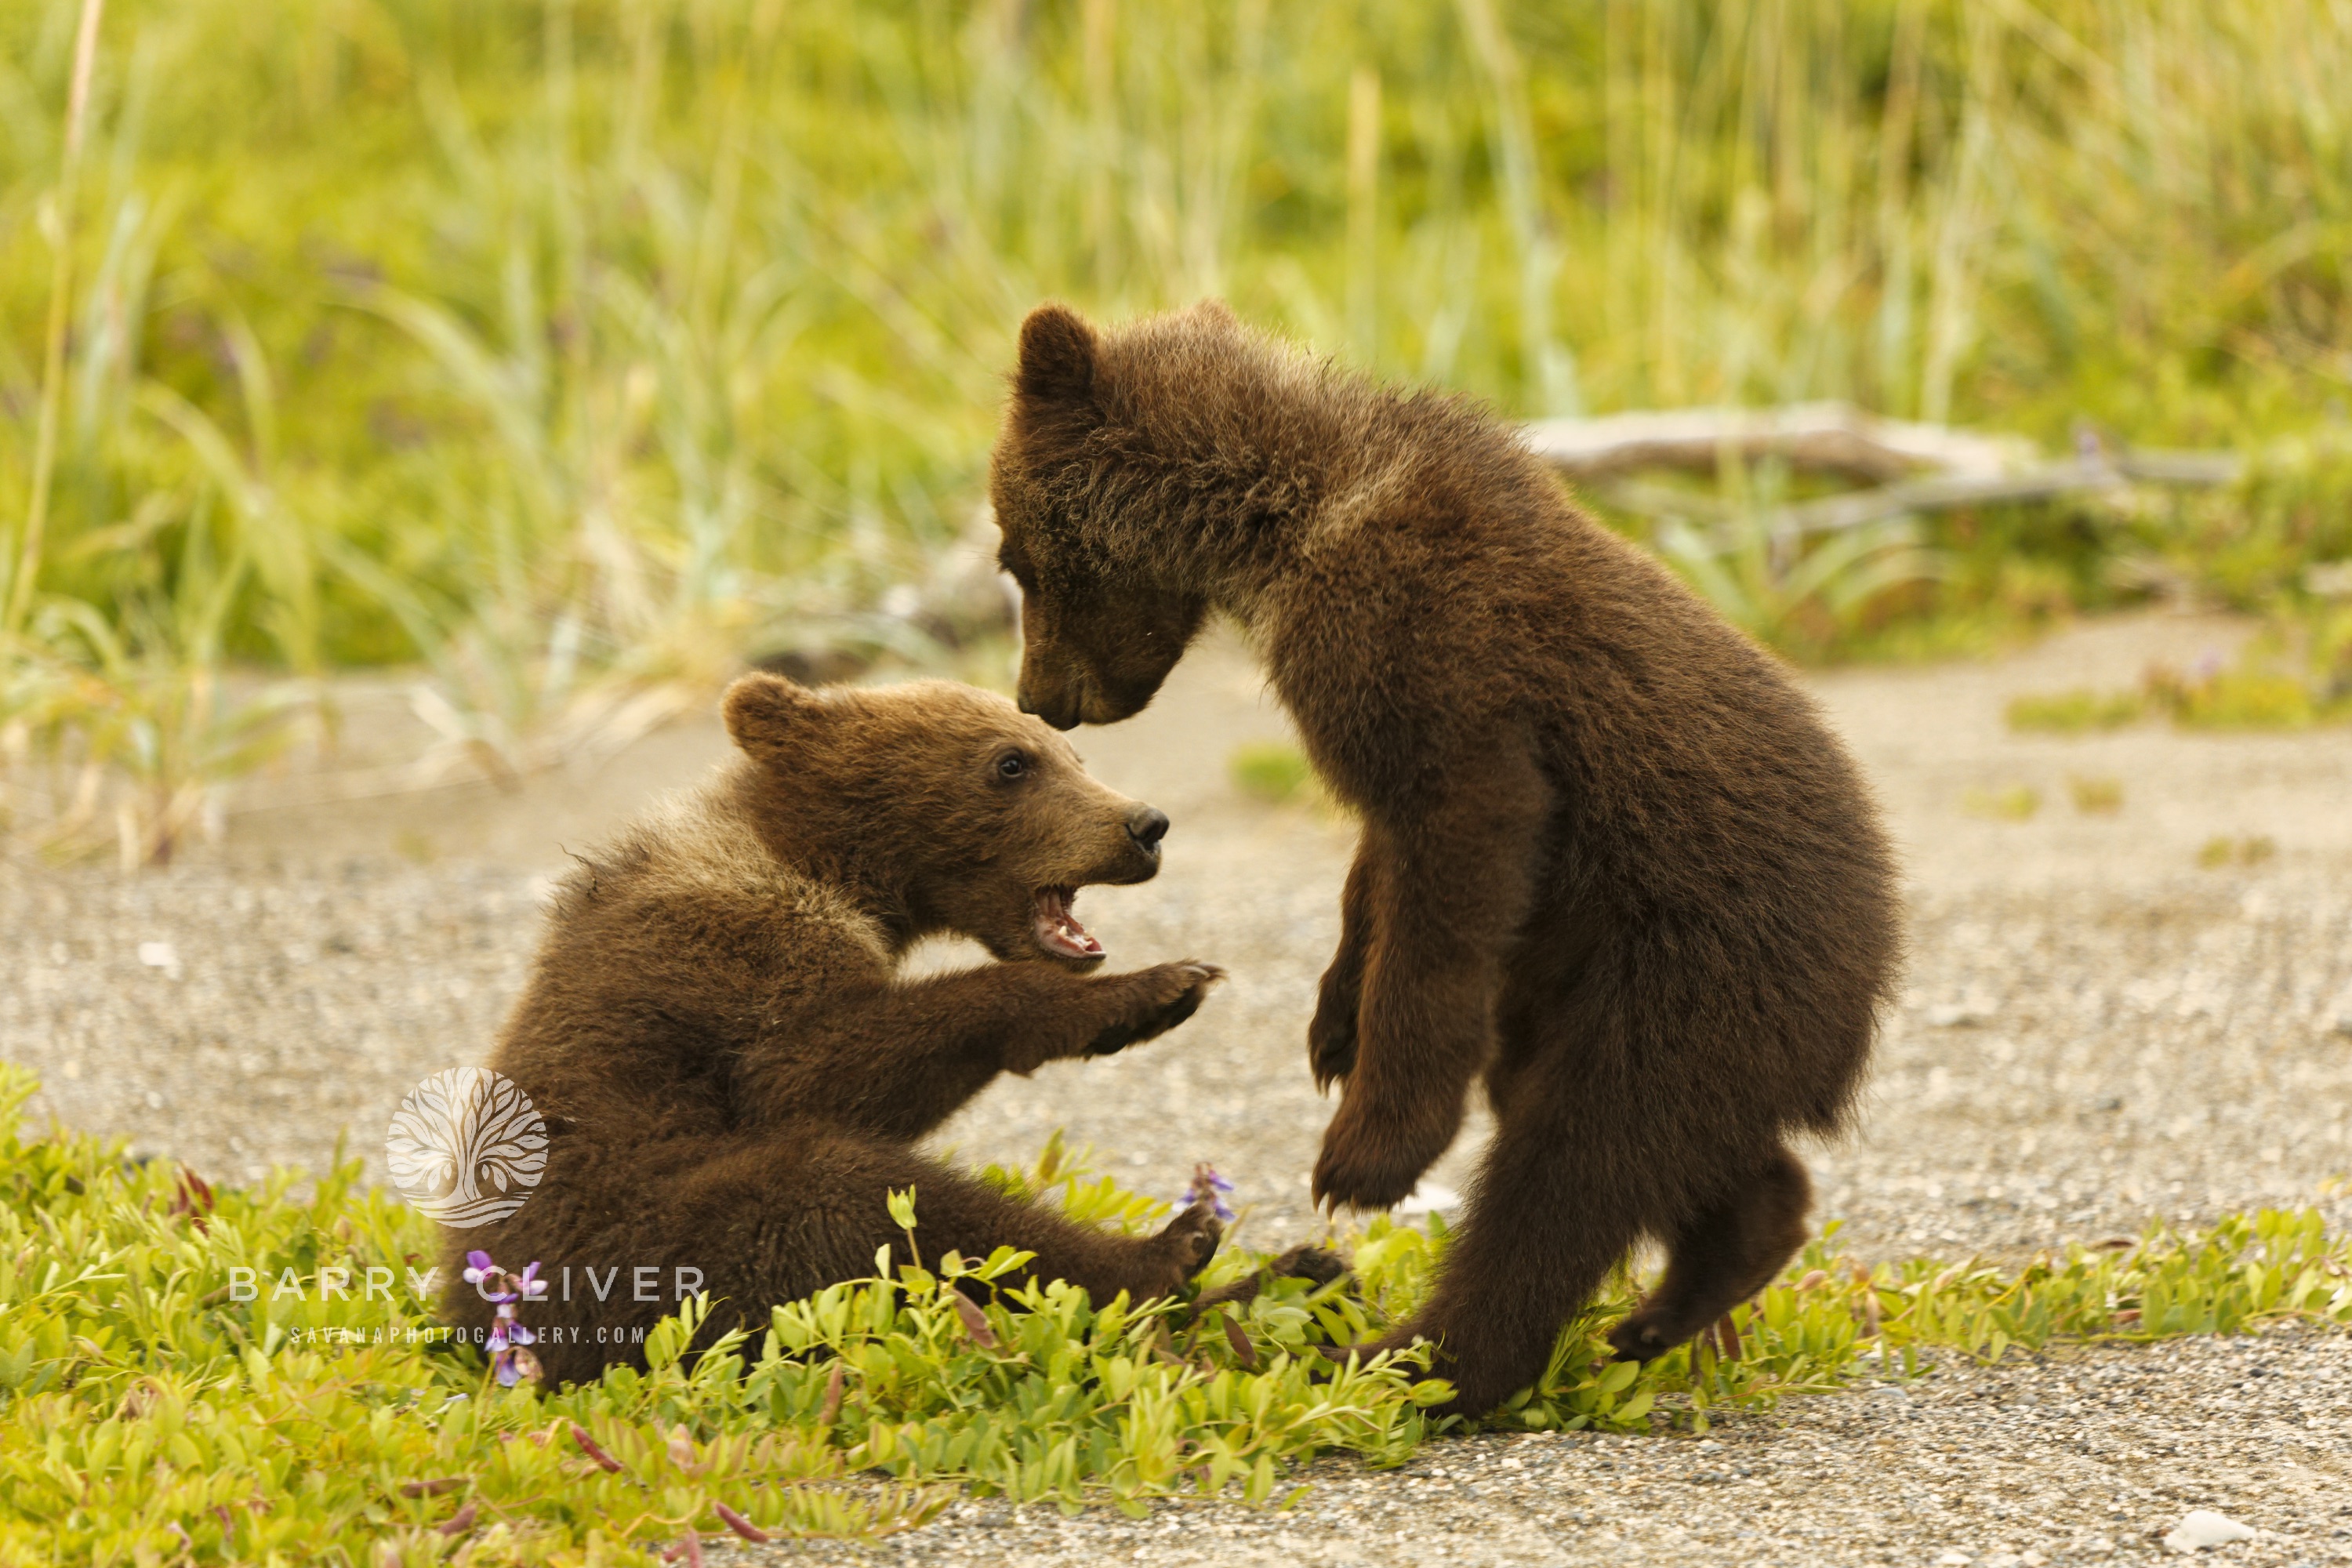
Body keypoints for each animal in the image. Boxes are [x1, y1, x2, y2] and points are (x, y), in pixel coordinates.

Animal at [442, 672, 1244, 1387]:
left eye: (1075, 755)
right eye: (1012, 762)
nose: (1144, 826)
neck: (825, 867)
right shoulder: (729, 962)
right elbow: (809, 1077)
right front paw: (1152, 989)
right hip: (642, 1243)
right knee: (854, 1198)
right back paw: (1169, 1249)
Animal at [986, 301, 1901, 1419]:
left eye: (1017, 558)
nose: (1038, 697)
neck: (1282, 525)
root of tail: (1867, 987)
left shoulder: (1432, 656)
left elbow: (1451, 857)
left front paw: (1366, 1149)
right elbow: (1375, 860)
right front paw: (1333, 1019)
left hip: (1694, 967)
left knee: (1573, 1162)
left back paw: (1422, 1359)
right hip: (1591, 984)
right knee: (1658, 1140)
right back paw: (1686, 1291)